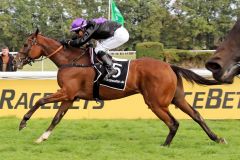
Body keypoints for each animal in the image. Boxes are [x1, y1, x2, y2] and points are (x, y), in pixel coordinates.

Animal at [14, 28, 226, 145]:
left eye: (25, 44)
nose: (16, 61)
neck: (71, 60)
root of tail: (169, 65)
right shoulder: (70, 96)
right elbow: (57, 117)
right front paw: (42, 137)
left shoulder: (66, 92)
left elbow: (40, 100)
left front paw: (23, 122)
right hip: (177, 98)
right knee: (196, 115)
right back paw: (217, 138)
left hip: (156, 102)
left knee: (174, 123)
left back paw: (165, 146)